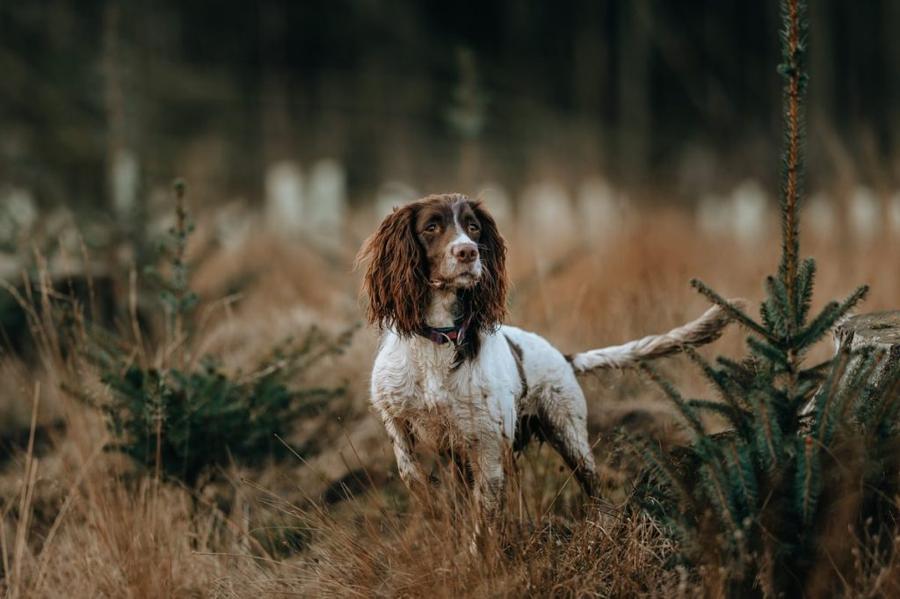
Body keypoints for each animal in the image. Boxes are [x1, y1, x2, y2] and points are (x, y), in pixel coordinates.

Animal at [358, 195, 740, 512]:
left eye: (473, 226)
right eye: (431, 227)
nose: (468, 252)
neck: (440, 338)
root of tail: (563, 357)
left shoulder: (487, 447)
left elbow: (481, 529)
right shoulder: (399, 423)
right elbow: (416, 480)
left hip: (569, 434)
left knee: (596, 493)